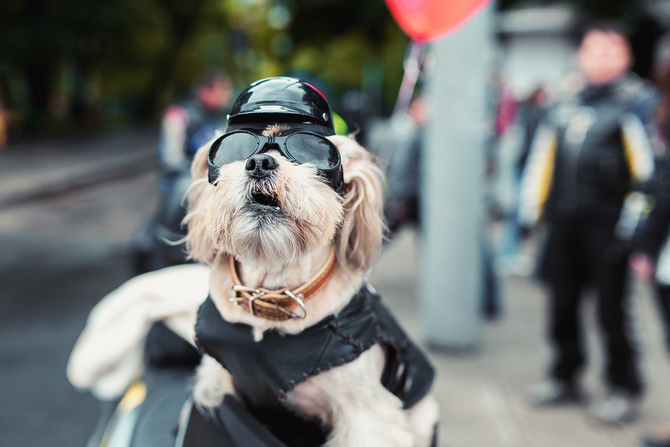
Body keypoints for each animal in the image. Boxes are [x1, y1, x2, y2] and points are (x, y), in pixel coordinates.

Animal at [185, 120, 440, 447]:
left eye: (309, 151)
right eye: (235, 148)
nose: (259, 163)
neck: (272, 296)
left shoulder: (367, 416)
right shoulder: (220, 383)